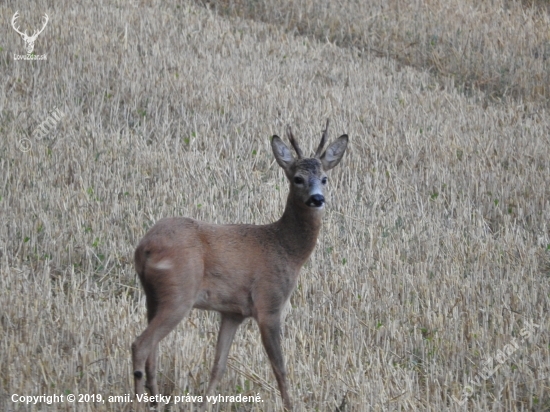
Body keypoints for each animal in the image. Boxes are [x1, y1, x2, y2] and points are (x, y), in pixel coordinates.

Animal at [132, 119, 350, 408]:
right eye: (298, 178)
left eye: (325, 178)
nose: (317, 198)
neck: (286, 249)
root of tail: (144, 248)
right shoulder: (269, 304)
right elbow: (279, 367)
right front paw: (290, 406)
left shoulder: (233, 312)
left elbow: (218, 365)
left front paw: (205, 404)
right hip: (179, 293)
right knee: (141, 345)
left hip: (152, 297)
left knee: (153, 351)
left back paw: (154, 401)